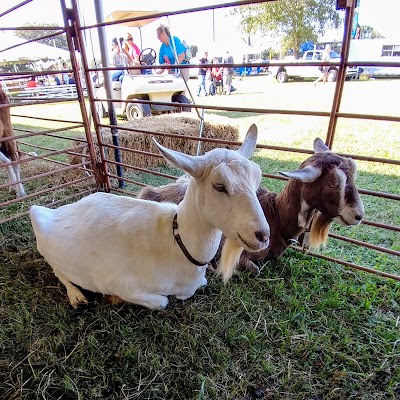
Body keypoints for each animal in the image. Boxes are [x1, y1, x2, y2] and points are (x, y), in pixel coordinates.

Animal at [30, 124, 268, 310]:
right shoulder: (121, 283)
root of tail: (51, 211)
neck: (177, 243)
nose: (263, 236)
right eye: (219, 186)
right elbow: (162, 301)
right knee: (59, 272)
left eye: (257, 179)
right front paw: (113, 298)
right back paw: (76, 297)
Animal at [138, 137, 366, 272]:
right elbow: (255, 269)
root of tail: (150, 191)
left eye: (353, 174)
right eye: (334, 182)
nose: (358, 215)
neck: (277, 215)